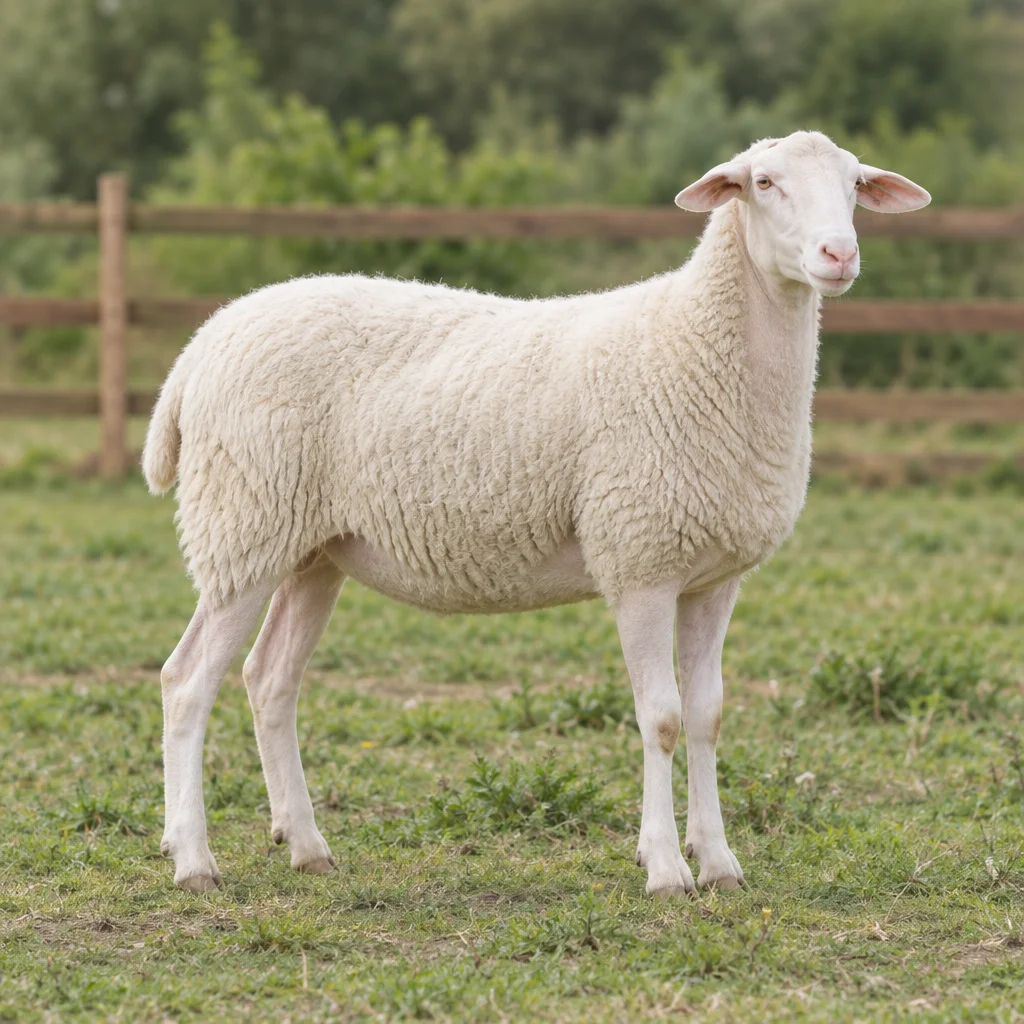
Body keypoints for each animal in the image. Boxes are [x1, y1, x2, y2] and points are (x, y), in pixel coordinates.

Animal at [144, 131, 931, 895]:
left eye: (856, 182)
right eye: (763, 183)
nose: (839, 255)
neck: (696, 343)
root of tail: (201, 345)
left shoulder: (713, 575)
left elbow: (706, 718)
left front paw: (719, 863)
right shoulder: (638, 559)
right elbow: (662, 719)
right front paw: (666, 869)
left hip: (312, 549)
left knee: (270, 681)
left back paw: (307, 847)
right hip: (242, 524)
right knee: (187, 684)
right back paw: (193, 860)